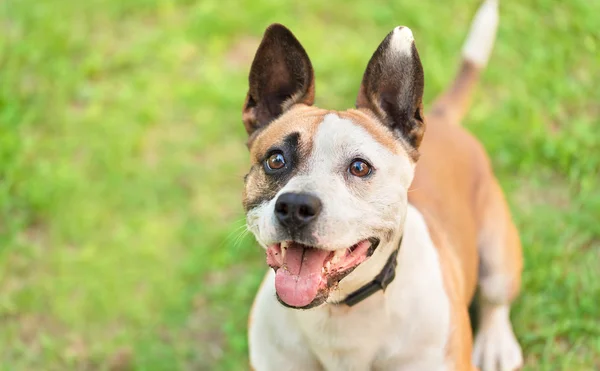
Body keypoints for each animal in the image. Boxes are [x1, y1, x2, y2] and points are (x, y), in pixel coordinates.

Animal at [241, 1, 524, 370]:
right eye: (275, 160)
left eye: (360, 167)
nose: (295, 206)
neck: (338, 313)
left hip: (498, 252)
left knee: (495, 300)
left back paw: (495, 343)